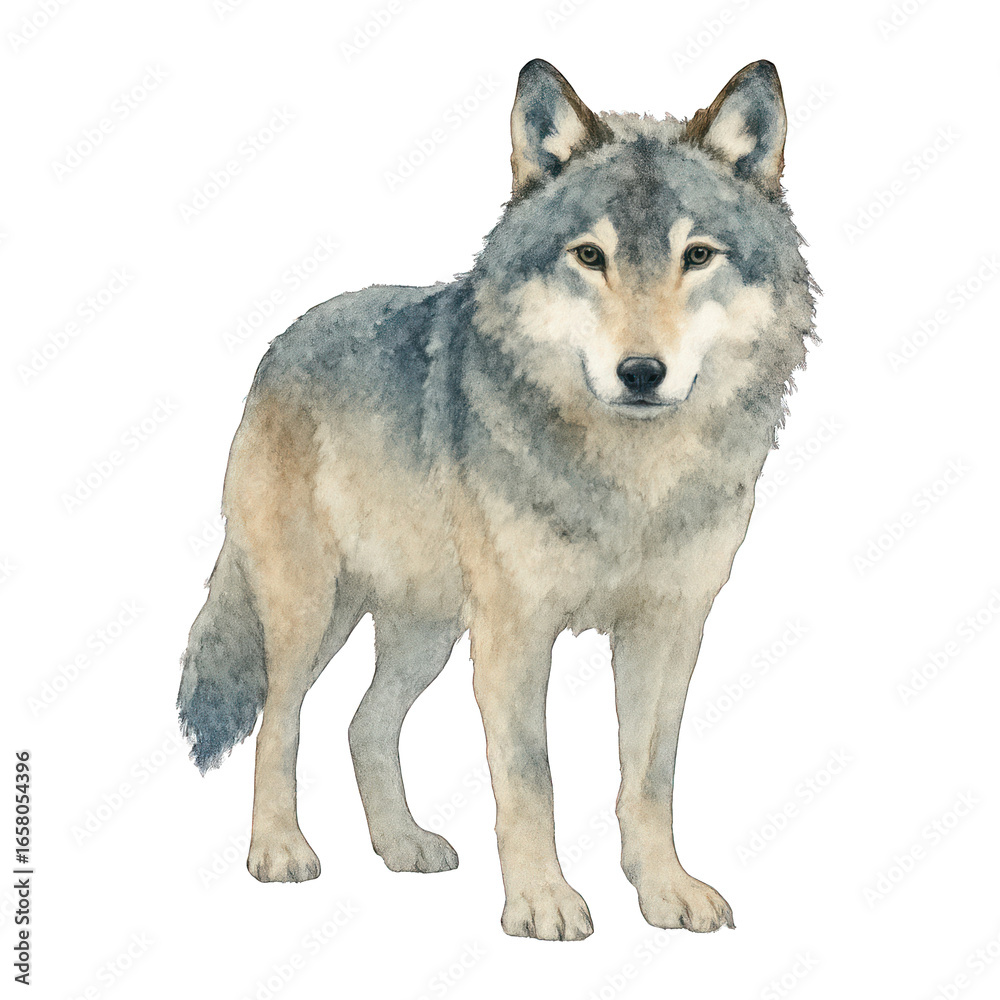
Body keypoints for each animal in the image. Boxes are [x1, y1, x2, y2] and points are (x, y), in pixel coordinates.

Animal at [178, 58, 815, 941]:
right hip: (312, 609)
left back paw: (402, 844)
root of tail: (285, 338)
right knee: (282, 720)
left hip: (427, 629)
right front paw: (542, 902)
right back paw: (279, 851)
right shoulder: (516, 630)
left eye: (697, 255)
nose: (641, 372)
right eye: (590, 255)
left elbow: (651, 775)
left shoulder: (670, 628)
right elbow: (530, 775)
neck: (632, 483)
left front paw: (663, 890)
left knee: (363, 722)